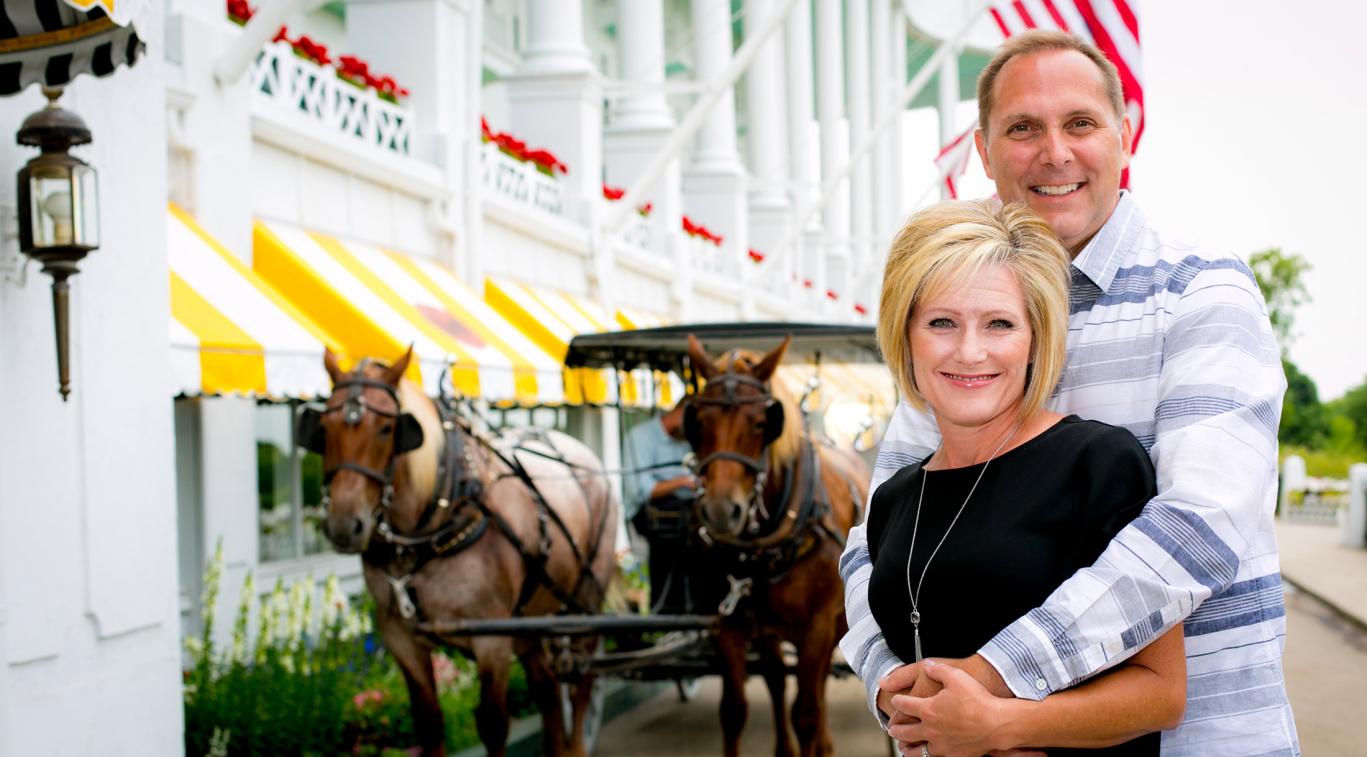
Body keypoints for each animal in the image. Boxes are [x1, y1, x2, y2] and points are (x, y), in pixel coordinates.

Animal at [304, 347, 620, 754]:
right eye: (323, 428)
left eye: (387, 429)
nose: (344, 525)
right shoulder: (401, 639)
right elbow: (429, 724)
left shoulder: (491, 641)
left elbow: (493, 725)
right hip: (529, 621)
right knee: (548, 688)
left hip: (584, 601)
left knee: (581, 683)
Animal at [680, 336, 863, 754]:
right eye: (697, 422)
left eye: (762, 423)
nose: (720, 511)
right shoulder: (729, 624)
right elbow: (734, 710)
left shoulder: (817, 625)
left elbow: (806, 713)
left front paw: (815, 739)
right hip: (766, 629)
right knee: (778, 678)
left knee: (817, 682)